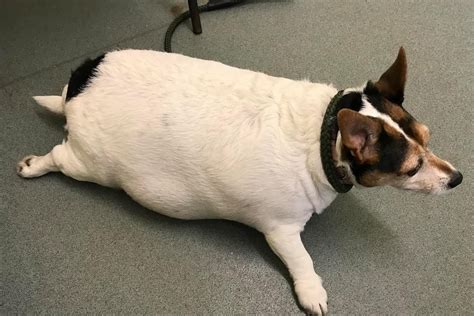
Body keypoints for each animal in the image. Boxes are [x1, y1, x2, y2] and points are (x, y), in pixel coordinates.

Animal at [18, 48, 462, 314]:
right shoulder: (281, 229)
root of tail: (80, 82)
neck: (324, 134)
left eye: (427, 137)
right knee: (58, 157)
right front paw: (312, 291)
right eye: (410, 169)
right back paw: (33, 165)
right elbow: (303, 260)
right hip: (89, 163)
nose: (457, 178)